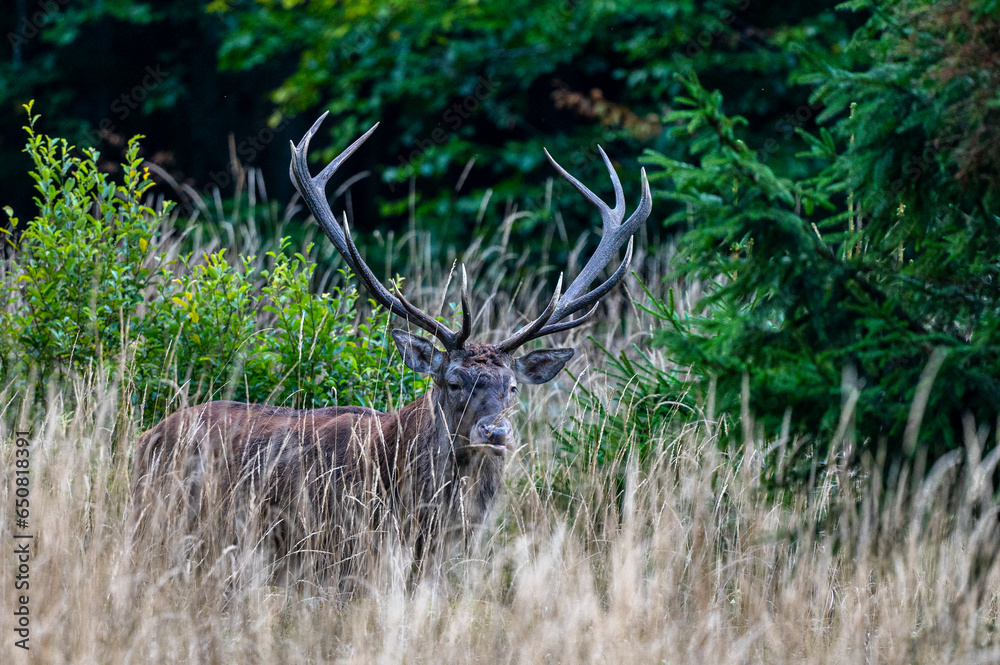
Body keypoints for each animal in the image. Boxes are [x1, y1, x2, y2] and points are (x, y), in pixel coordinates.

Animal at [130, 113, 651, 581]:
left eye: (513, 387)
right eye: (453, 381)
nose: (495, 432)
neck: (420, 509)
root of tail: (146, 437)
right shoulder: (339, 555)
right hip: (168, 524)